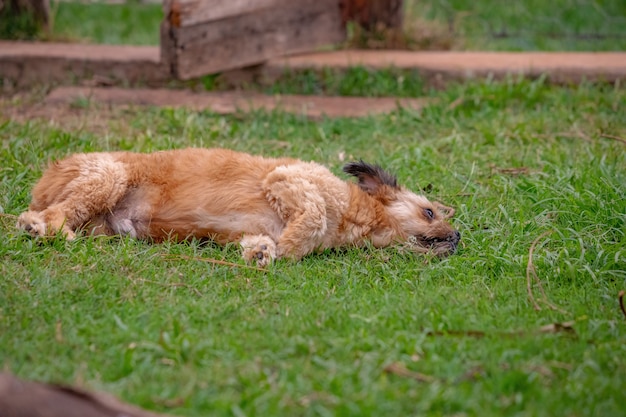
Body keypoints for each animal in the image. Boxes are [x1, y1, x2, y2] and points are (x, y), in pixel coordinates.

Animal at [17, 148, 460, 264]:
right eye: (429, 212)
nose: (457, 237)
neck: (358, 215)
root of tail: (48, 176)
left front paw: (262, 251)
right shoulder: (287, 180)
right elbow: (312, 219)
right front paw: (284, 245)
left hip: (109, 222)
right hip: (107, 177)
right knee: (48, 215)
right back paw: (39, 228)